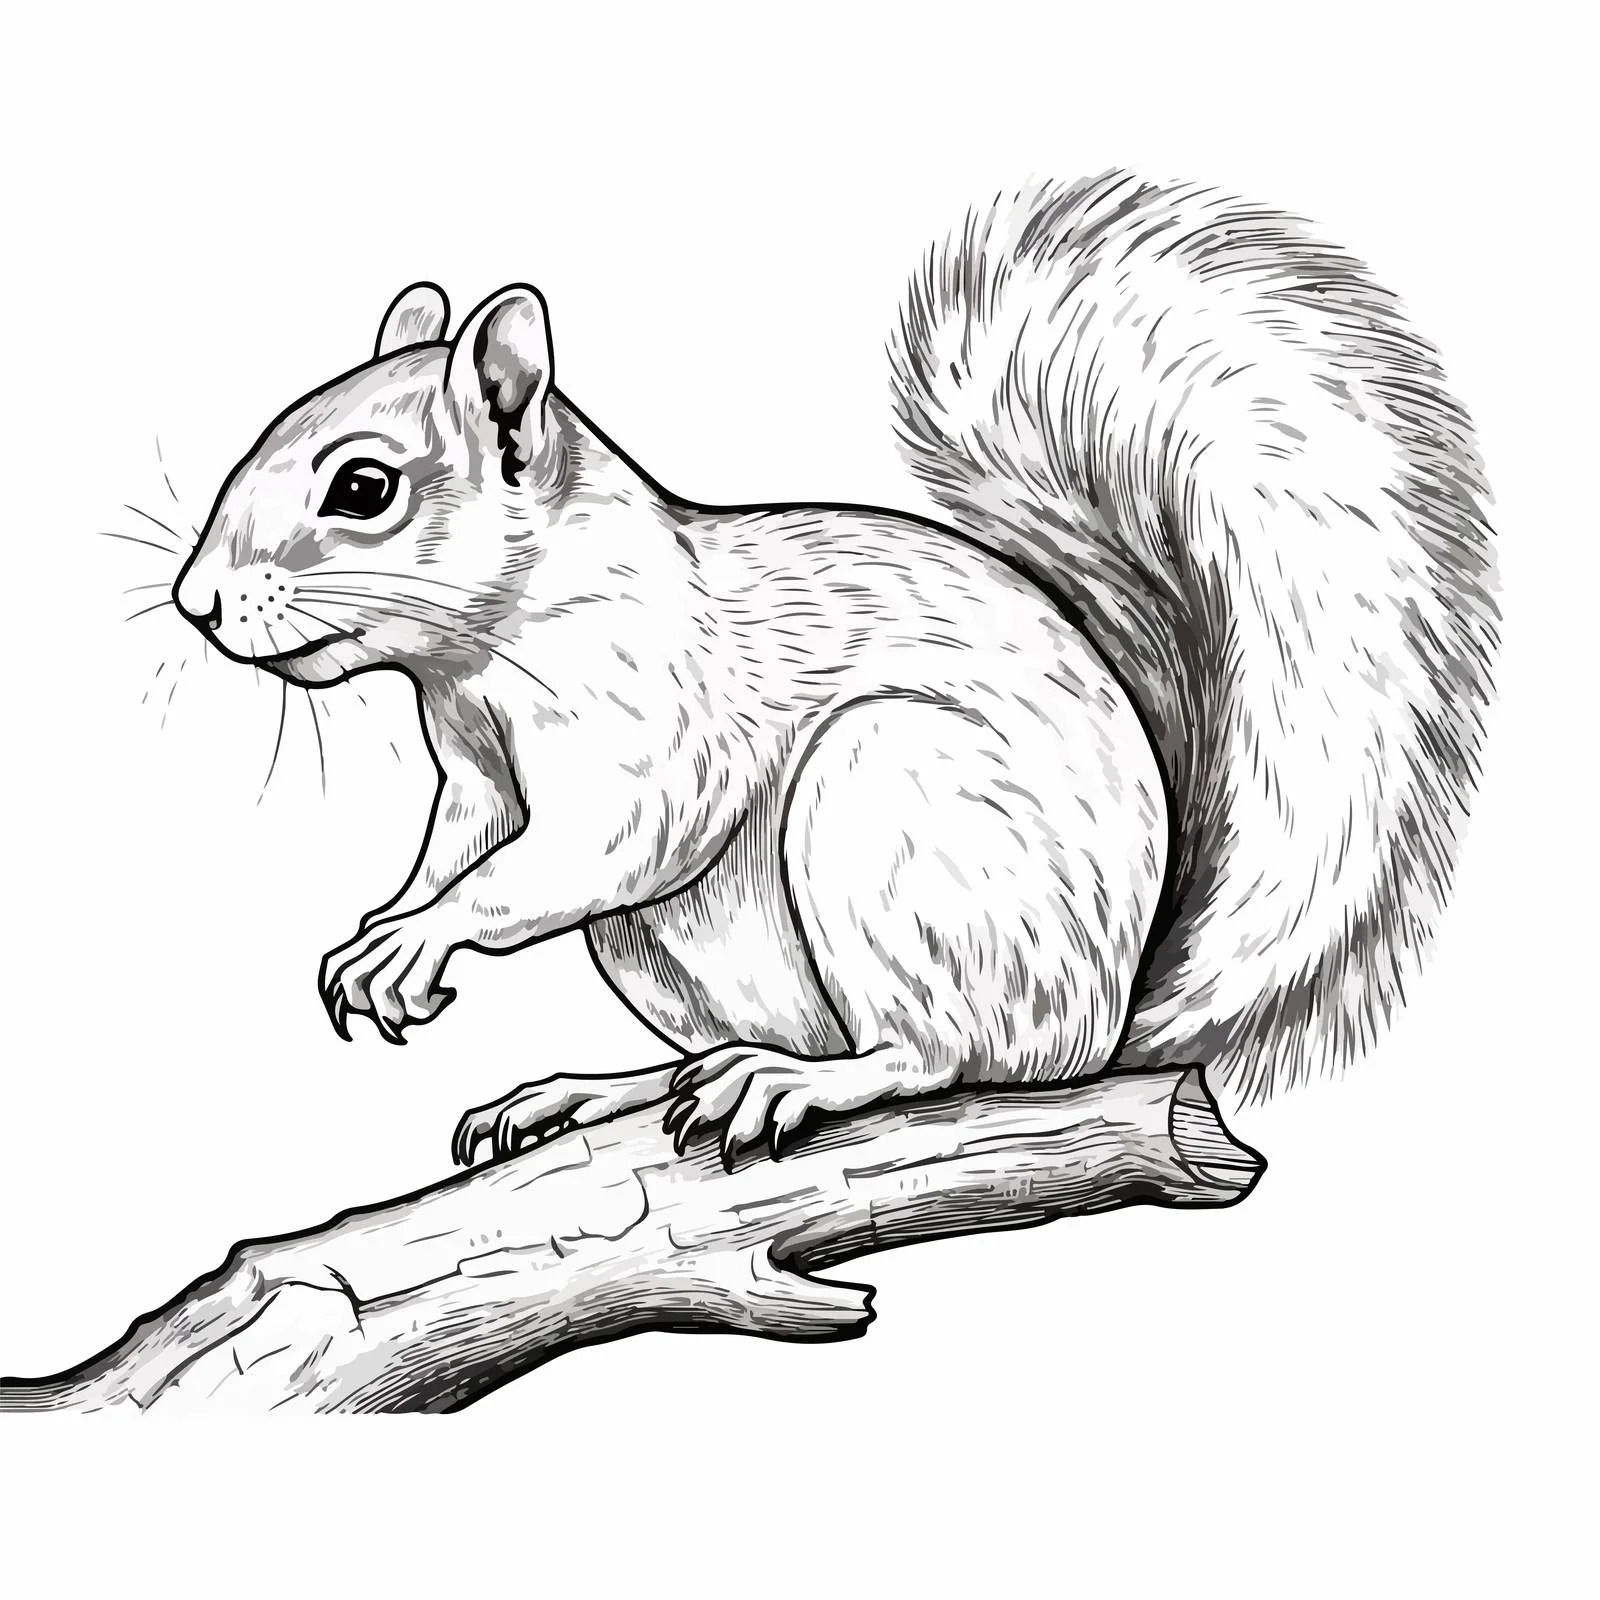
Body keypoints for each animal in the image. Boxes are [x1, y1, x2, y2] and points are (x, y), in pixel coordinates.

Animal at [172, 170, 1499, 1169]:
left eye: (362, 487)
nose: (195, 603)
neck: (490, 646)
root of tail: (1115, 1011)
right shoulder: (476, 767)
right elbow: (465, 841)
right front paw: (382, 927)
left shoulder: (652, 722)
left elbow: (588, 848)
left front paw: (422, 937)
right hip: (668, 953)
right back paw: (606, 1087)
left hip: (890, 796)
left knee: (944, 1054)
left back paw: (800, 1085)